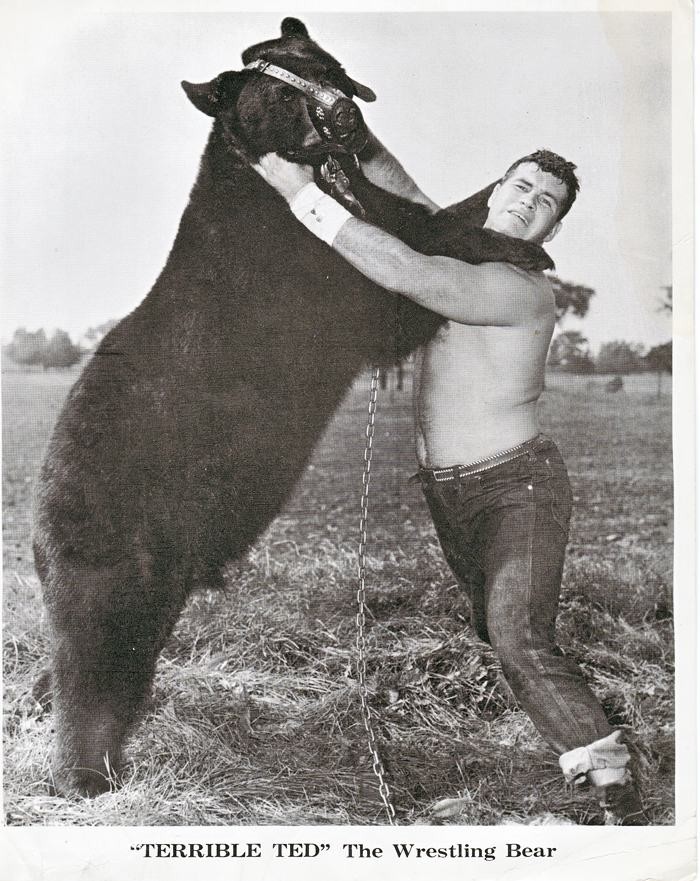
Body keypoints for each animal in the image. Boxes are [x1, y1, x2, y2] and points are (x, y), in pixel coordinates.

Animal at [33, 17, 553, 797]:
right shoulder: (314, 270)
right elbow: (404, 275)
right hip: (111, 551)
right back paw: (88, 776)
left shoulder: (365, 199)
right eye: (277, 95)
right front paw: (517, 245)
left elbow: (414, 215)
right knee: (93, 658)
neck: (308, 176)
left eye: (323, 65)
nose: (344, 117)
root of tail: (36, 522)